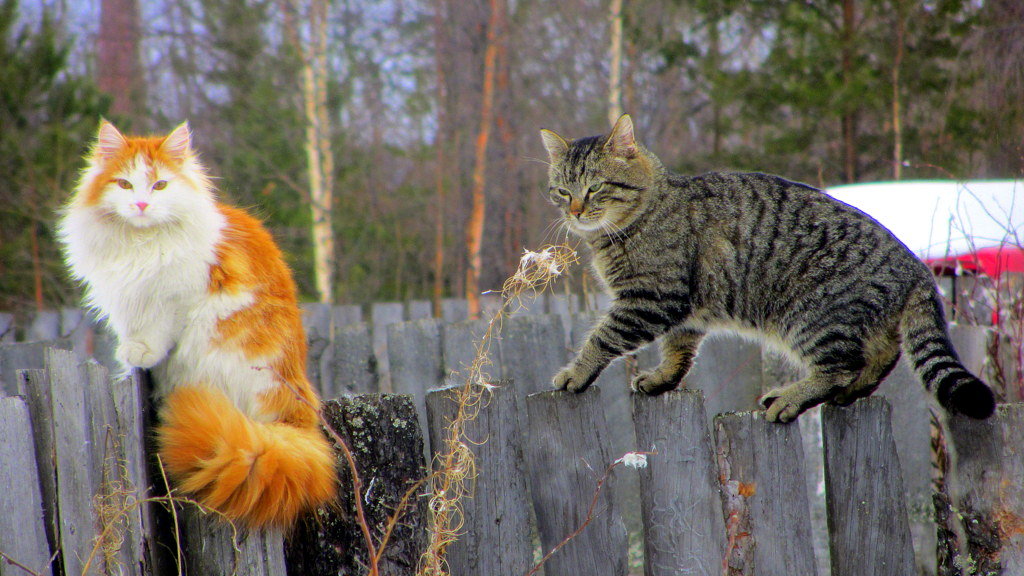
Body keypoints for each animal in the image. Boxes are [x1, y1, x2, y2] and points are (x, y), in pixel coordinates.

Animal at [58, 118, 337, 528]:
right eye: (124, 185)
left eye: (160, 186)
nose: (141, 204)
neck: (141, 245)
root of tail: (298, 418)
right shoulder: (125, 303)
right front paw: (128, 361)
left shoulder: (178, 297)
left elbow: (155, 331)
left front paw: (139, 355)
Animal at [540, 115, 995, 422]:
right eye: (561, 191)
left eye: (595, 187)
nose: (574, 211)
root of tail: (913, 263)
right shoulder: (683, 312)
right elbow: (678, 351)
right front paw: (662, 379)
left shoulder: (650, 298)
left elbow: (601, 338)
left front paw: (575, 373)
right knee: (883, 355)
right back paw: (850, 393)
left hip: (812, 317)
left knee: (841, 366)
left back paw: (791, 398)